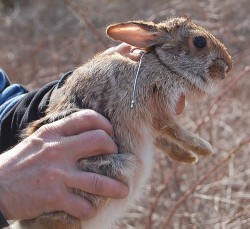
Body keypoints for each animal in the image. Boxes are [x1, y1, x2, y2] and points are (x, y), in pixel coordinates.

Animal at [9, 17, 232, 229]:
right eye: (200, 42)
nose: (228, 66)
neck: (163, 63)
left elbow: (162, 139)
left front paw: (186, 157)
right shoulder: (157, 101)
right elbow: (172, 129)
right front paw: (204, 149)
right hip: (117, 169)